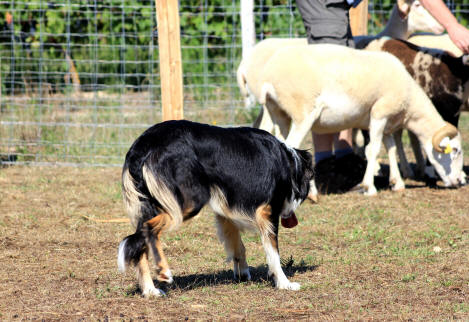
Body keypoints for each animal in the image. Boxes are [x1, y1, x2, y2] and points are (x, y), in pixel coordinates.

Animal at [117, 121, 312, 296]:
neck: (288, 162)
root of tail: (144, 143)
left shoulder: (225, 212)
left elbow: (239, 246)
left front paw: (242, 273)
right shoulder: (268, 212)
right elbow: (274, 253)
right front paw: (284, 283)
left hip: (150, 205)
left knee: (138, 243)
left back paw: (150, 290)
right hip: (189, 201)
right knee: (147, 229)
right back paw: (163, 270)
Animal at [256, 43, 464, 196]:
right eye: (455, 150)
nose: (461, 181)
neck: (410, 99)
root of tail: (269, 75)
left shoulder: (387, 123)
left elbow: (391, 148)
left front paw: (397, 183)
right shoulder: (379, 113)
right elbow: (372, 149)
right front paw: (368, 187)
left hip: (279, 113)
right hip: (303, 113)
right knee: (292, 147)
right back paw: (312, 193)